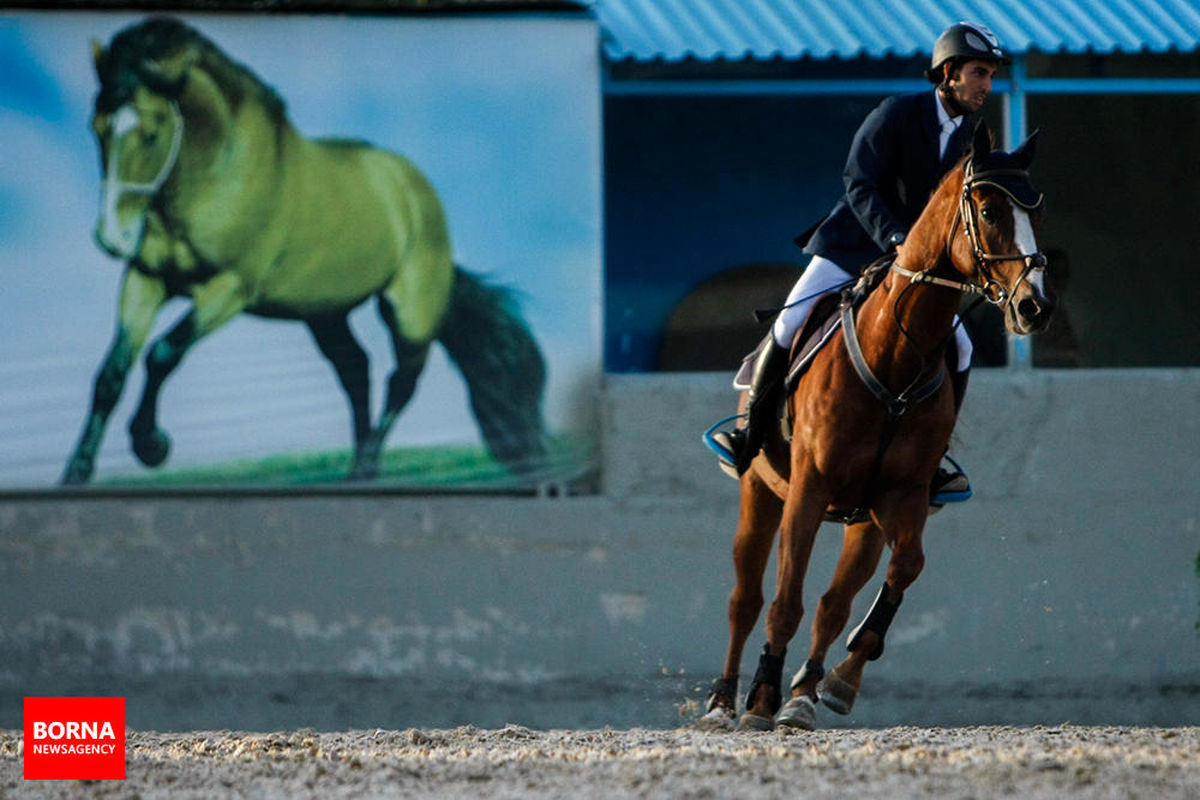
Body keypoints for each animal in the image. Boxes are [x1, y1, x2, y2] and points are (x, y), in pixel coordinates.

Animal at [63, 15, 547, 484]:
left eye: (150, 132)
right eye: (96, 127)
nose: (112, 238)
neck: (220, 174)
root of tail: (414, 191)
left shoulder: (230, 288)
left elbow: (163, 354)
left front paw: (152, 446)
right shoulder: (146, 280)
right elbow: (112, 374)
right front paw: (76, 472)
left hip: (410, 313)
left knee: (402, 382)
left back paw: (366, 469)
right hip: (325, 313)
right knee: (356, 372)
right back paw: (356, 468)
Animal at [700, 123, 1056, 734]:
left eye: (1037, 210)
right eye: (989, 211)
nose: (1036, 306)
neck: (893, 356)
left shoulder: (903, 495)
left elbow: (904, 568)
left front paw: (839, 681)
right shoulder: (808, 489)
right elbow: (784, 600)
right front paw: (762, 700)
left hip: (862, 520)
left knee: (833, 603)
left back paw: (805, 692)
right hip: (760, 492)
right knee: (745, 599)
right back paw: (726, 704)